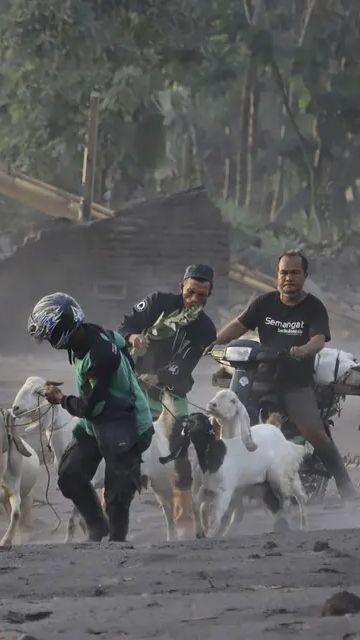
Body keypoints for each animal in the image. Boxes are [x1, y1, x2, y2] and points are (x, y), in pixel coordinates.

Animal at [186, 388, 306, 536]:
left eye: (233, 400)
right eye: (216, 395)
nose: (212, 405)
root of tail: (274, 428)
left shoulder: (232, 492)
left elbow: (230, 515)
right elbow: (207, 508)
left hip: (281, 475)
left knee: (296, 498)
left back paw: (299, 525)